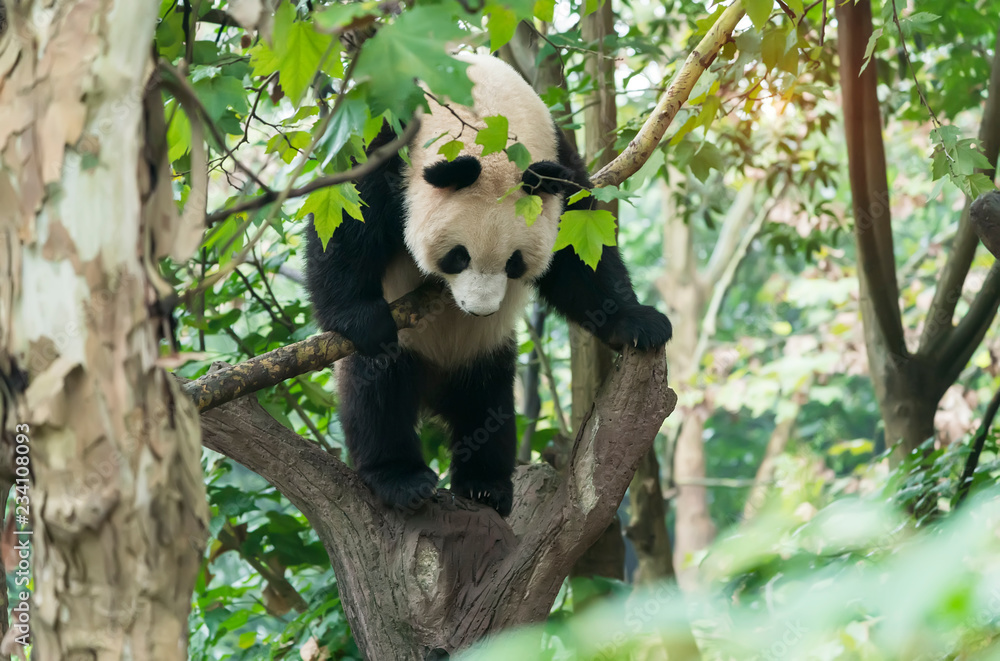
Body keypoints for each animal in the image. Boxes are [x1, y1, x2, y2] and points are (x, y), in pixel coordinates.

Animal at [304, 52, 672, 517]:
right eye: (458, 256)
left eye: (515, 263)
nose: (479, 311)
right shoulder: (388, 142)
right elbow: (346, 220)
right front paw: (363, 319)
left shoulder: (559, 162)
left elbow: (579, 254)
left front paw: (639, 323)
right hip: (405, 351)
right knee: (376, 392)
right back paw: (401, 479)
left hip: (486, 350)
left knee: (489, 405)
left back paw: (485, 485)